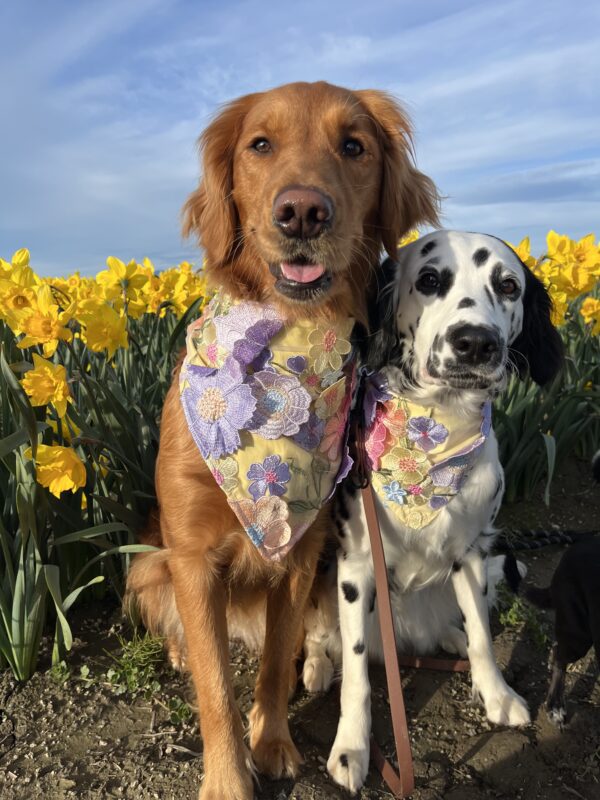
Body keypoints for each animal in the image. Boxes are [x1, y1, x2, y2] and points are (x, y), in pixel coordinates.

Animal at [125, 78, 436, 796]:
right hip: (146, 560)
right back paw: (181, 650)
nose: (302, 213)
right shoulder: (191, 555)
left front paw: (272, 744)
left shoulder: (300, 550)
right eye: (259, 145)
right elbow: (216, 688)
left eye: (354, 146)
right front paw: (228, 779)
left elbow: (270, 665)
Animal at [302, 228, 564, 792]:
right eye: (428, 279)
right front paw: (352, 747)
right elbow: (357, 670)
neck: (437, 428)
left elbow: (485, 636)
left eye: (508, 286)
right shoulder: (357, 565)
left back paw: (449, 638)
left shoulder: (472, 551)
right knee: (317, 635)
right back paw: (315, 666)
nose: (476, 342)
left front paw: (497, 694)